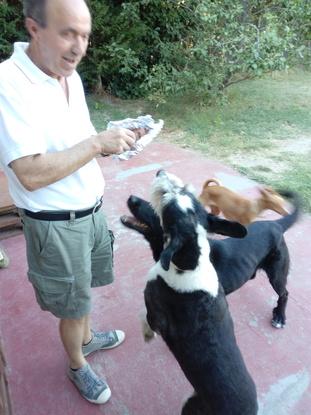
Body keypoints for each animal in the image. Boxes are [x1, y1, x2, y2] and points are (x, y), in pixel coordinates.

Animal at [121, 174, 300, 330]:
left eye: (159, 211)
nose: (132, 198)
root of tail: (276, 224)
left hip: (277, 275)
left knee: (284, 294)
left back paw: (279, 316)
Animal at [125, 170, 260, 415]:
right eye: (185, 192)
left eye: (167, 201)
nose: (160, 171)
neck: (190, 261)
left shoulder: (156, 311)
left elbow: (145, 316)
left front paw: (148, 334)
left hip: (192, 405)